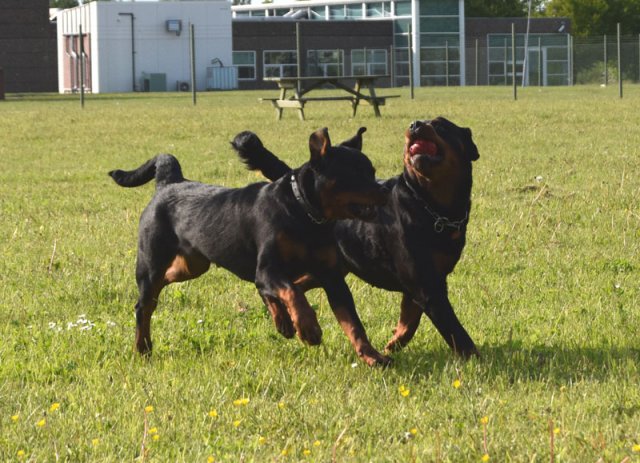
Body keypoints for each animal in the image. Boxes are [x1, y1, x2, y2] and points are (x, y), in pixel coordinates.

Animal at [110, 128, 390, 366]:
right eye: (353, 174)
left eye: (372, 171)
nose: (386, 190)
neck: (304, 214)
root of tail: (169, 182)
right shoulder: (268, 269)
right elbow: (293, 293)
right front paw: (309, 328)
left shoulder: (332, 277)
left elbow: (353, 324)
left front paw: (372, 356)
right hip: (152, 263)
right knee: (144, 305)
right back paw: (142, 348)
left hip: (191, 265)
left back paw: (282, 321)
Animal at [232, 118, 478, 358]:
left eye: (441, 126)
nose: (415, 124)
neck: (429, 206)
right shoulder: (425, 284)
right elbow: (454, 329)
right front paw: (475, 358)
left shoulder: (425, 281)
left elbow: (410, 321)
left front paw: (393, 343)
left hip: (329, 268)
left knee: (296, 285)